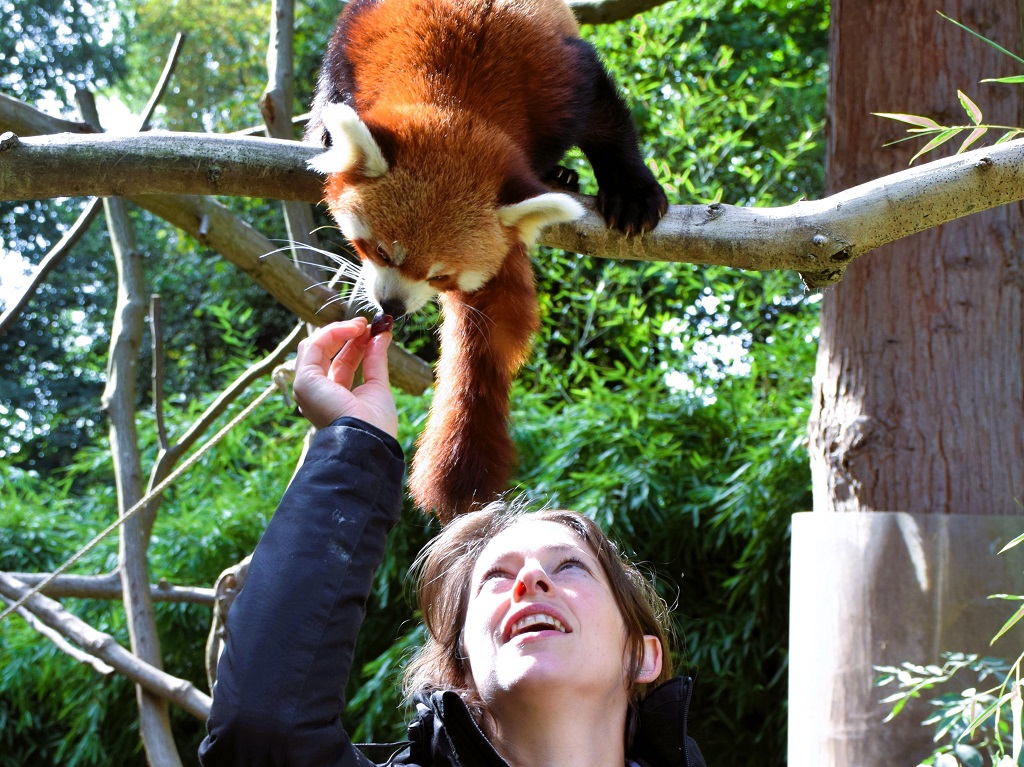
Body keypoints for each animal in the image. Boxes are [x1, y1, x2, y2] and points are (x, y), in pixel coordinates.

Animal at [307, 0, 667, 520]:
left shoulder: (561, 76)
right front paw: (325, 135)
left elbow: (608, 121)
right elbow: (331, 86)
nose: (392, 306)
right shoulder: (357, 34)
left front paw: (632, 190)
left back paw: (560, 176)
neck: (454, 91)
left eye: (443, 276)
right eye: (379, 250)